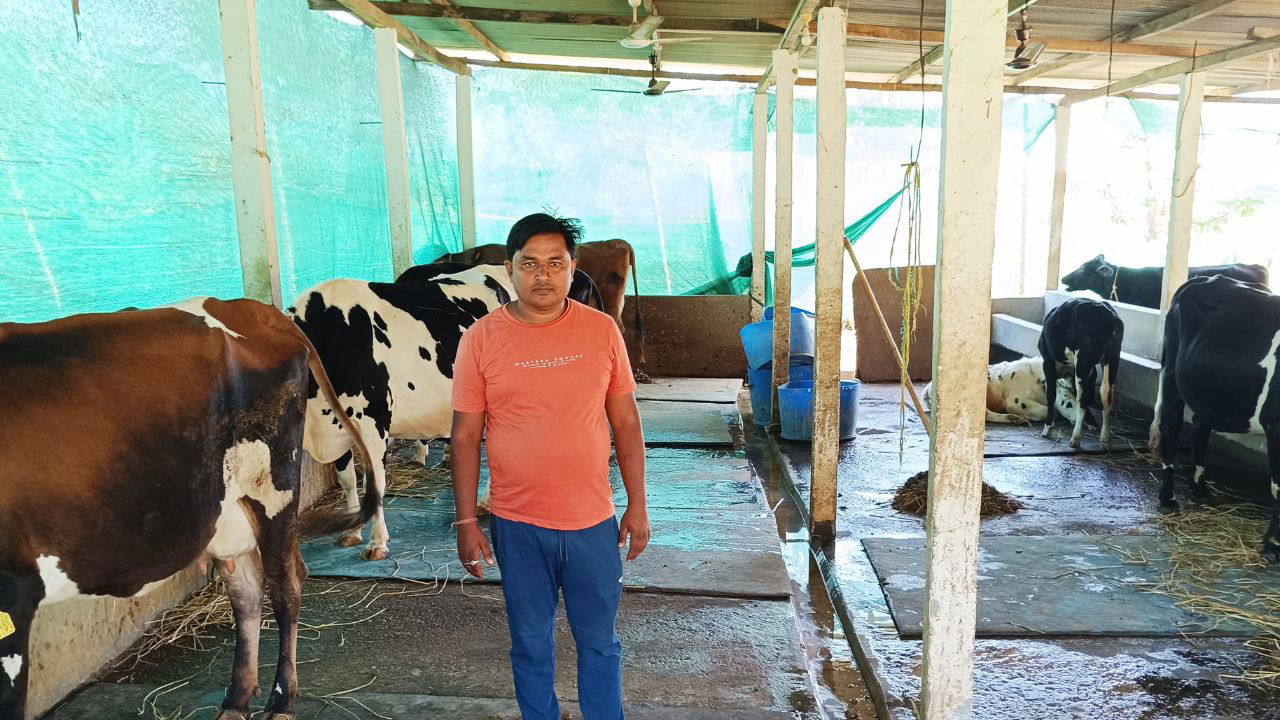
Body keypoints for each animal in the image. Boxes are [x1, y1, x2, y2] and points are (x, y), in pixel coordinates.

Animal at [0, 295, 376, 717]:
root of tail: (248, 307)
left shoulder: (13, 593)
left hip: (273, 487)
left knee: (286, 585)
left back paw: (281, 700)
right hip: (228, 510)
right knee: (246, 591)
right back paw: (236, 699)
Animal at [290, 266, 509, 558]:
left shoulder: (373, 421)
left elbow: (374, 484)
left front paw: (377, 542)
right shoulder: (337, 426)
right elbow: (347, 479)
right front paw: (352, 530)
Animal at [1034, 298, 1126, 448]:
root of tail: (1106, 313)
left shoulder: (1047, 361)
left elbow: (1051, 394)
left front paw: (1047, 428)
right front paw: (1092, 423)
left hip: (1083, 361)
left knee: (1082, 399)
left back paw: (1075, 438)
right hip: (1112, 358)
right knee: (1106, 396)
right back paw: (1105, 440)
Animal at [1152, 274, 1280, 561]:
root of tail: (1205, 277)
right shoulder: (1277, 425)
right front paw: (1272, 545)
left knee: (1200, 426)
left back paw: (1200, 490)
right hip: (1172, 375)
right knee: (1171, 430)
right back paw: (1168, 499)